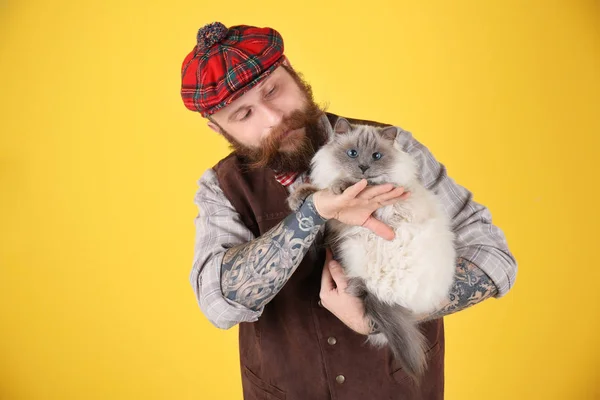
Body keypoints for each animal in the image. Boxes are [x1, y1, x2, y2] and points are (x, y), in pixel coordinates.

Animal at [286, 117, 454, 380]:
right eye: (352, 153)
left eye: (376, 156)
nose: (363, 167)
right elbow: (317, 192)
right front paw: (298, 199)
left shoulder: (379, 192)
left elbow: (355, 185)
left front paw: (341, 186)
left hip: (356, 246)